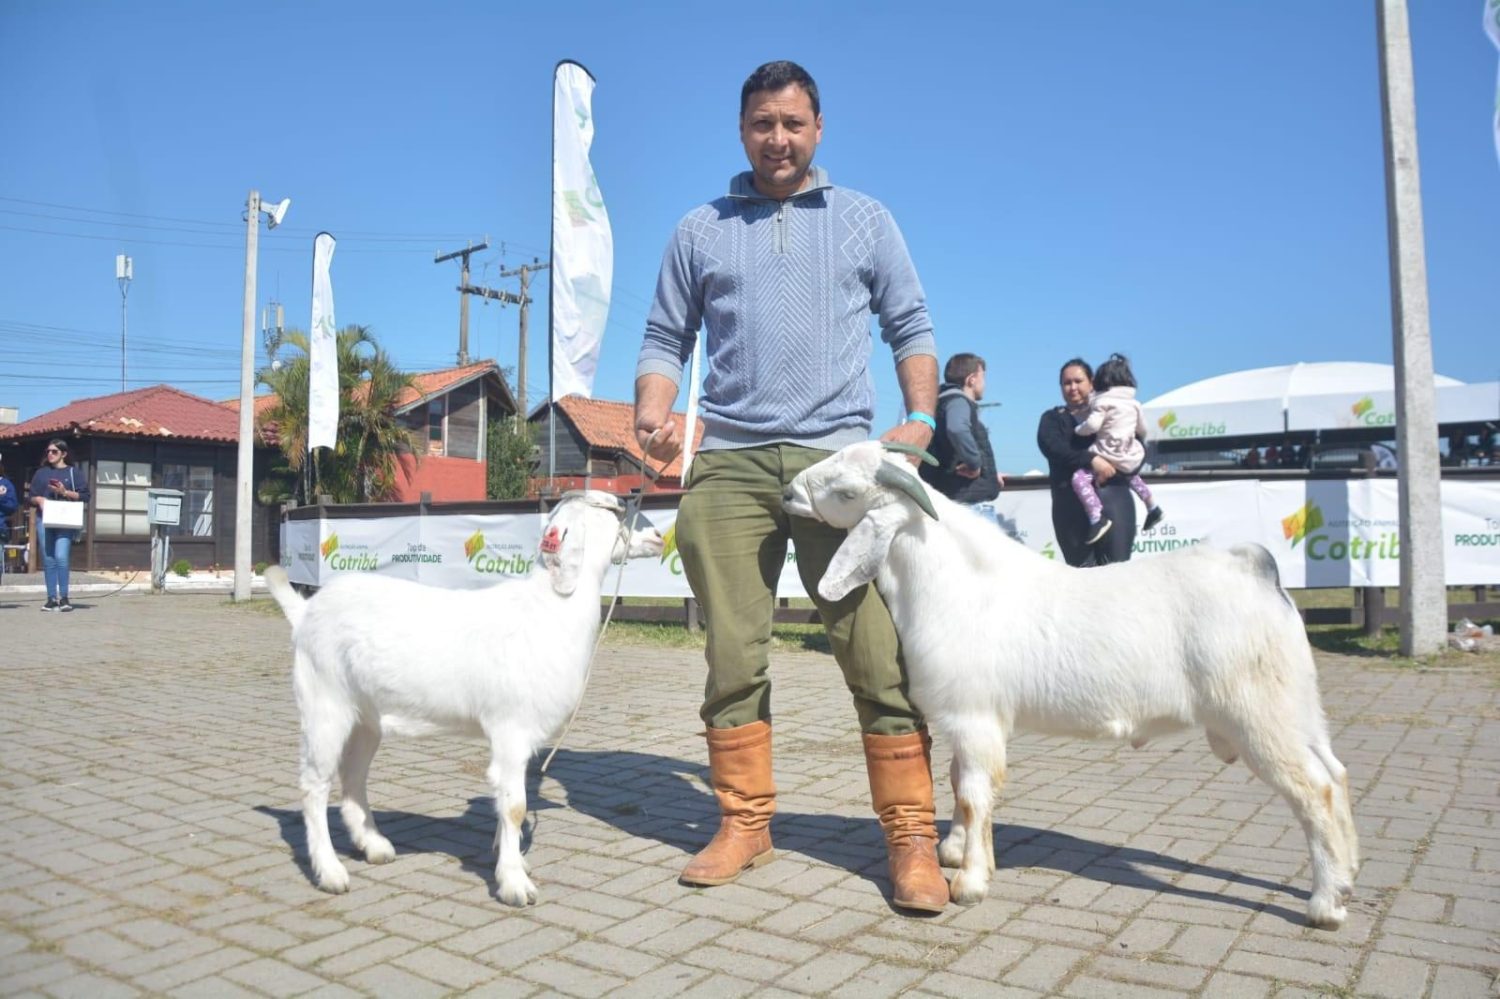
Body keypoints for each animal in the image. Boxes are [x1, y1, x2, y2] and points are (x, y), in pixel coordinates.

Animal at [265, 489, 663, 900]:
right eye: (614, 512)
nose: (659, 538)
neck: (548, 609)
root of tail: (305, 611)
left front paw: (511, 862)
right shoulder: (511, 728)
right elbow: (515, 806)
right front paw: (514, 884)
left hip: (365, 718)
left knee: (353, 775)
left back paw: (374, 845)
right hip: (324, 703)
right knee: (314, 784)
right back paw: (330, 871)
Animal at [786, 444, 1362, 924]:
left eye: (847, 491)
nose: (789, 492)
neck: (958, 587)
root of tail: (1255, 568)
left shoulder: (974, 717)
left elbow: (974, 794)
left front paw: (969, 883)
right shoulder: (970, 722)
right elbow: (960, 784)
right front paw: (957, 854)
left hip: (1259, 716)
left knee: (1313, 789)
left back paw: (1325, 905)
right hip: (1296, 706)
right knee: (1336, 773)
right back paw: (1350, 873)